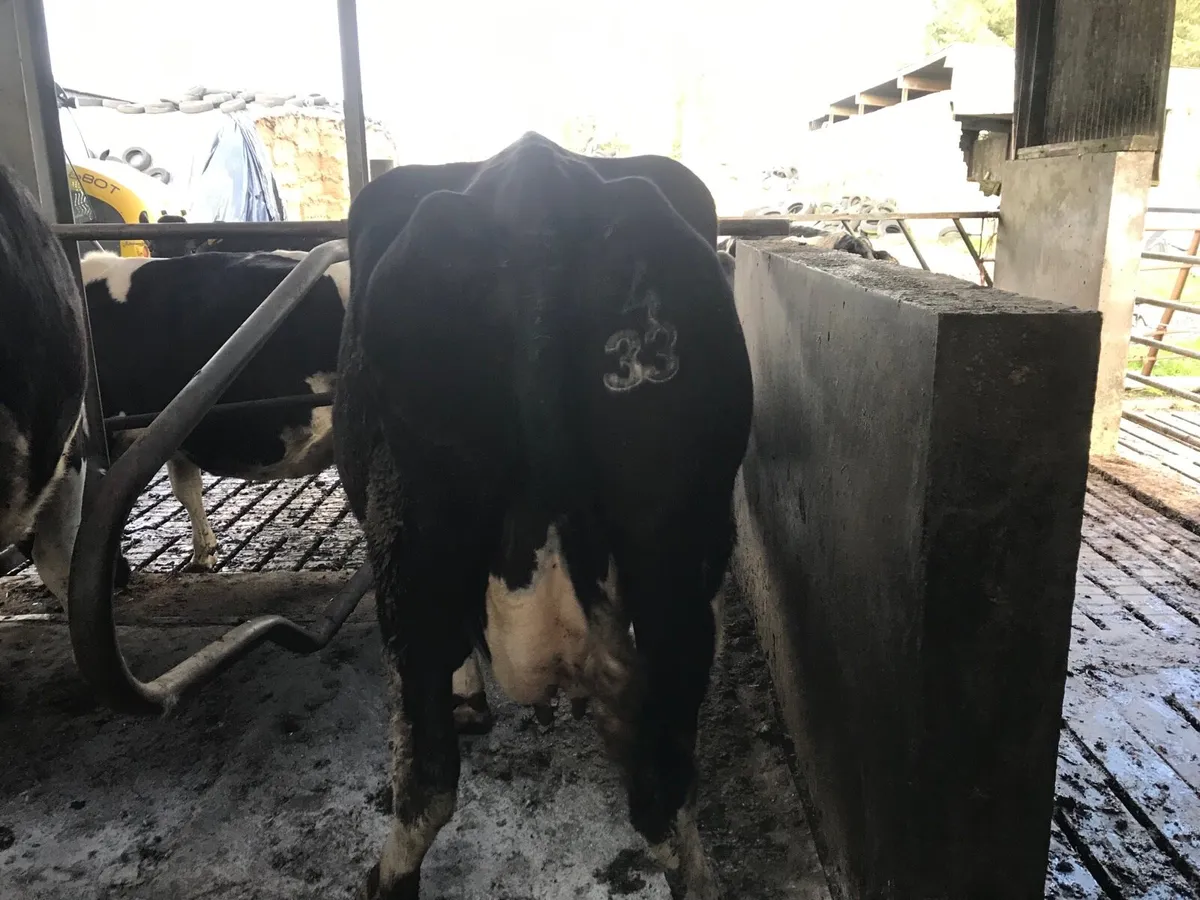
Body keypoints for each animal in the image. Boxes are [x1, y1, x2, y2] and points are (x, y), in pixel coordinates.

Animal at [335, 131, 752, 899]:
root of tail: (539, 191)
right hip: (679, 543)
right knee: (668, 789)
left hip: (411, 536)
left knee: (428, 775)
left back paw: (387, 874)